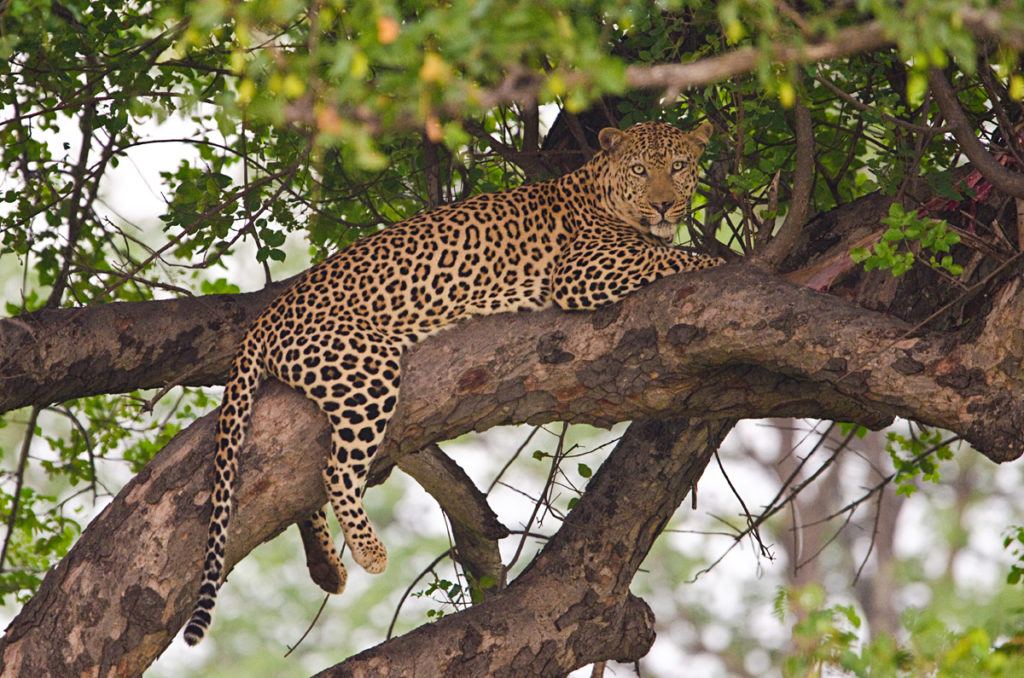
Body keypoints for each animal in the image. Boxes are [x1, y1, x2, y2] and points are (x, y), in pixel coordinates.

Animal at [184, 119, 729, 647]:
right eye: (640, 170)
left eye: (679, 166)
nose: (663, 203)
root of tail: (266, 316)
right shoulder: (582, 269)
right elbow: (670, 257)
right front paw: (721, 260)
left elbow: (666, 251)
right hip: (365, 370)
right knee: (336, 470)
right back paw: (369, 552)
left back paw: (327, 568)